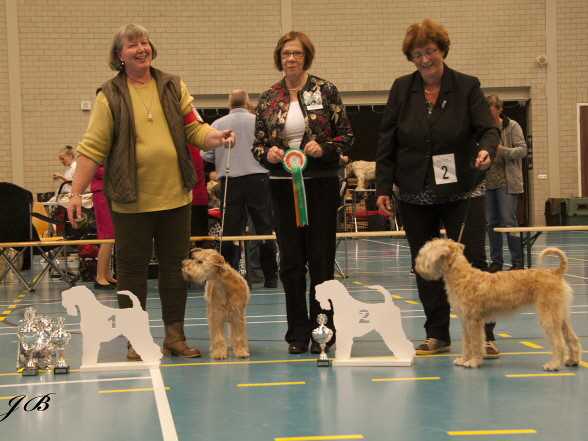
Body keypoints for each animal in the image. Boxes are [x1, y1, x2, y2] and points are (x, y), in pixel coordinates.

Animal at [416, 239, 580, 370]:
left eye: (425, 252)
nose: (416, 266)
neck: (462, 276)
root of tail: (555, 273)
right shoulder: (466, 321)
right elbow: (466, 342)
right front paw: (464, 359)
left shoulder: (474, 320)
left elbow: (476, 342)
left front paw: (473, 362)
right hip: (561, 315)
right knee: (572, 338)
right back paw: (572, 360)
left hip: (548, 316)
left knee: (559, 342)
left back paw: (553, 364)